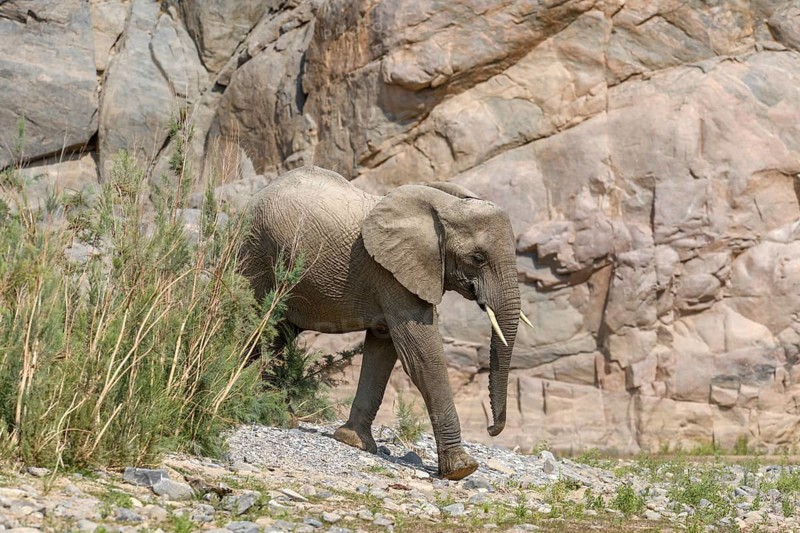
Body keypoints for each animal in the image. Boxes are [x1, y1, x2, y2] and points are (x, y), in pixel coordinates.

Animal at [239, 165, 529, 480]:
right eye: (478, 258)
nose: (491, 428)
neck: (444, 209)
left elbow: (383, 348)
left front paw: (353, 441)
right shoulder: (391, 274)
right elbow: (420, 354)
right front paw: (462, 468)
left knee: (279, 333)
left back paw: (274, 408)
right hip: (256, 250)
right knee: (256, 322)